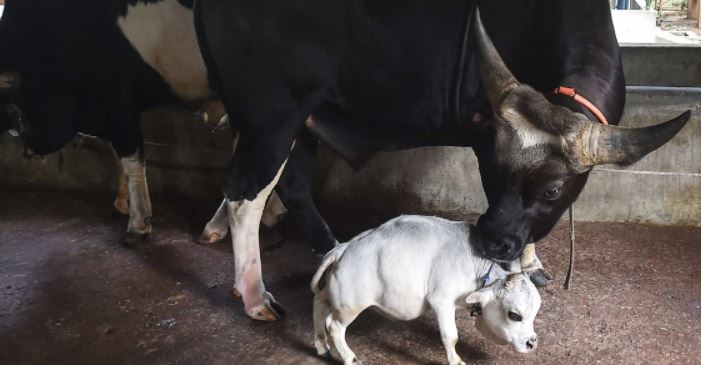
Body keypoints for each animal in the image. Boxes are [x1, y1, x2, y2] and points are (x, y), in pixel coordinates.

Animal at [0, 0, 336, 253]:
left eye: (19, 113)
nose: (28, 149)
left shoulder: (115, 94)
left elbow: (131, 157)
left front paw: (137, 226)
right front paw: (122, 204)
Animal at [196, 0, 688, 318]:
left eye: (552, 189)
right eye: (490, 170)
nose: (491, 242)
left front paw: (531, 262)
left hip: (307, 119)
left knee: (292, 185)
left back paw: (330, 247)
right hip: (273, 118)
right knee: (245, 195)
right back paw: (255, 295)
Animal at [312, 215, 540, 362]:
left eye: (534, 313)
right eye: (514, 315)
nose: (532, 343)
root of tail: (344, 248)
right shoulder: (442, 301)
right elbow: (451, 336)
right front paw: (456, 360)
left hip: (334, 296)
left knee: (319, 303)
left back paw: (322, 346)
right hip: (350, 305)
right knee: (334, 326)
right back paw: (349, 357)